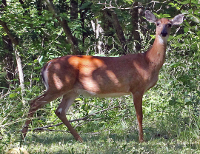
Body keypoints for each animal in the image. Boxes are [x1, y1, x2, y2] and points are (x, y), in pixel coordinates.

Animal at [21, 10, 184, 143]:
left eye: (169, 24)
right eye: (157, 23)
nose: (163, 33)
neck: (148, 62)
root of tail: (47, 64)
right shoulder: (137, 87)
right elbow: (140, 115)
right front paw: (141, 140)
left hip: (71, 90)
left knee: (59, 111)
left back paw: (79, 138)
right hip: (58, 85)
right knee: (34, 103)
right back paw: (22, 136)